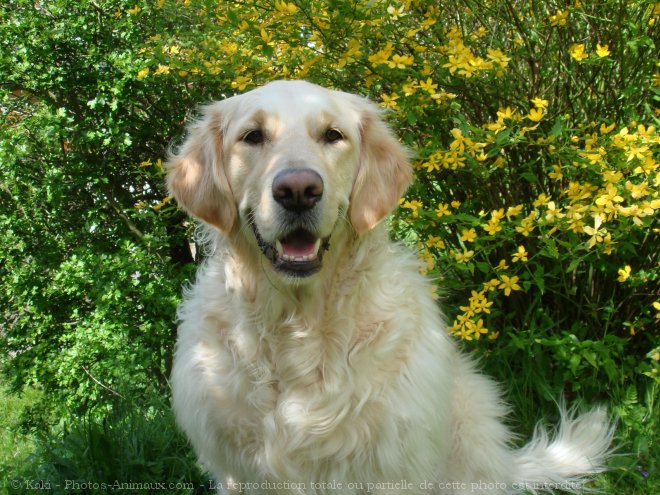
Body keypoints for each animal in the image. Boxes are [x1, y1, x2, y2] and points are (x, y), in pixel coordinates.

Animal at [166, 79, 612, 494]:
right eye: (253, 136)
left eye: (332, 135)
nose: (298, 191)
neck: (298, 323)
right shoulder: (235, 472)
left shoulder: (392, 467)